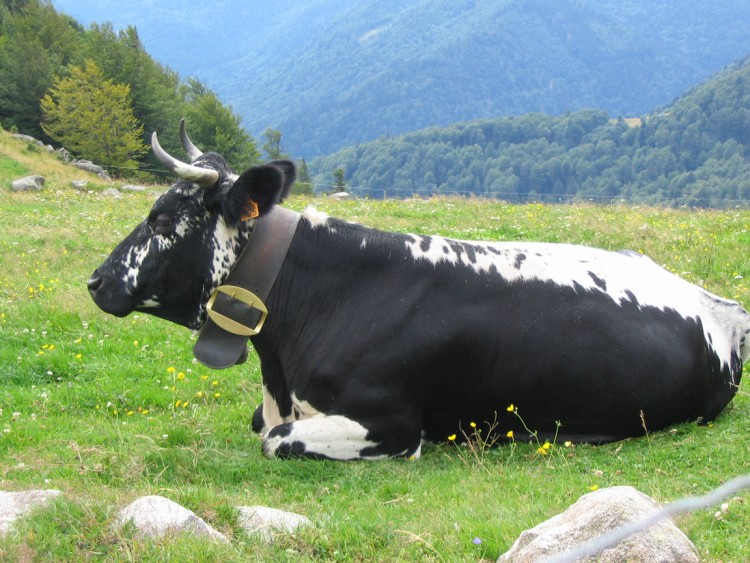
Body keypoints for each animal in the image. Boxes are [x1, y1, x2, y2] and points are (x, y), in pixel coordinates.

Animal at [89, 121, 750, 460]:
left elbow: (274, 440)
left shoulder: (392, 425)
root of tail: (718, 305)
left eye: (160, 218)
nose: (96, 281)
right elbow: (260, 424)